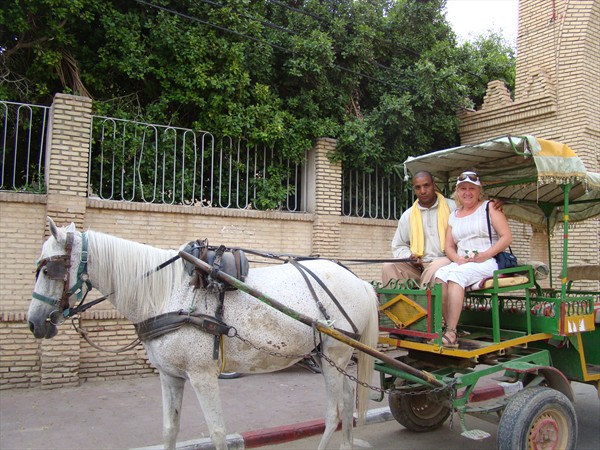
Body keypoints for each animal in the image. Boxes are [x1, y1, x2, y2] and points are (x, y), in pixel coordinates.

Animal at [29, 216, 380, 448]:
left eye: (48, 269)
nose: (34, 323)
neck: (167, 293)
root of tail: (358, 280)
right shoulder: (169, 376)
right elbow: (170, 430)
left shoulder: (202, 376)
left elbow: (218, 433)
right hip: (328, 357)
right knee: (347, 399)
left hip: (334, 354)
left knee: (333, 411)